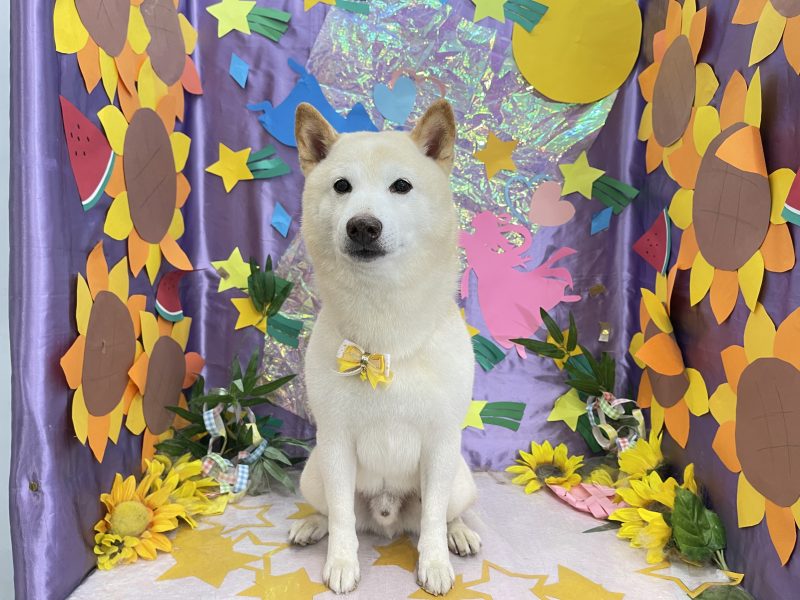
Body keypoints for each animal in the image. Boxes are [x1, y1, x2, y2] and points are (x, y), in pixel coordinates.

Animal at [288, 99, 480, 595]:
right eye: (342, 186)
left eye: (401, 186)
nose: (362, 226)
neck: (387, 334)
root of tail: (388, 514)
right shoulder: (336, 442)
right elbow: (341, 517)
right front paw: (341, 563)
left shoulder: (440, 441)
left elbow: (432, 519)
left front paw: (434, 563)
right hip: (313, 471)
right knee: (333, 511)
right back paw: (311, 525)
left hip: (460, 478)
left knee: (447, 512)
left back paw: (459, 534)